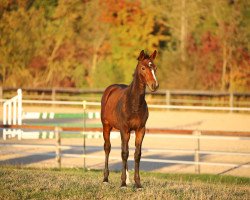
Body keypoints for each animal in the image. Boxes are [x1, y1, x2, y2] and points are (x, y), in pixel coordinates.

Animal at [100, 50, 157, 189]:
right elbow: (124, 153)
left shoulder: (140, 130)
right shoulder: (124, 129)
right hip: (106, 126)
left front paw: (137, 183)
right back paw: (105, 179)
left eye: (155, 68)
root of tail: (110, 89)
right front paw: (123, 183)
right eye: (143, 68)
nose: (154, 85)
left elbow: (137, 154)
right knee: (108, 148)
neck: (134, 103)